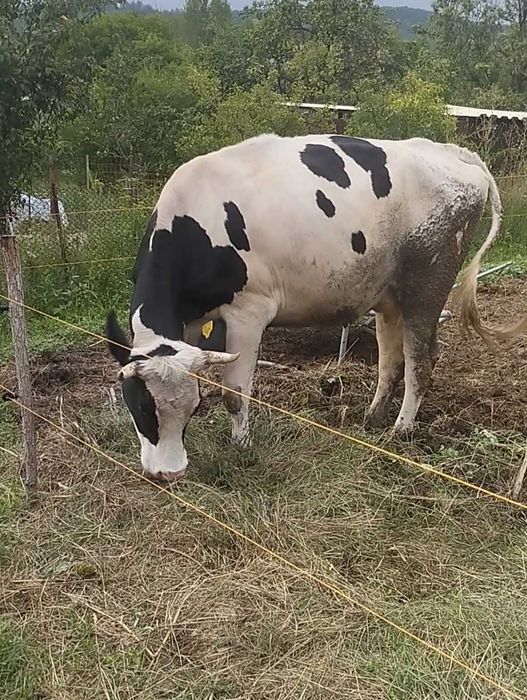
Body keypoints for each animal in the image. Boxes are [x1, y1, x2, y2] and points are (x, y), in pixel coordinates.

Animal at [105, 134, 527, 482]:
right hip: (389, 297)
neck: (193, 224)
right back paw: (373, 418)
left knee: (421, 359)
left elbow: (235, 392)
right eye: (141, 407)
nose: (169, 474)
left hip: (427, 287)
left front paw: (241, 447)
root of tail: (454, 153)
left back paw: (401, 430)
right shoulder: (192, 320)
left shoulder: (248, 313)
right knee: (391, 360)